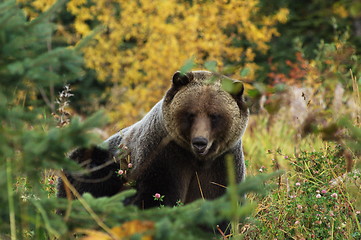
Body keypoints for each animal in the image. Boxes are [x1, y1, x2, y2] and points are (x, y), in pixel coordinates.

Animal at [57, 69, 248, 210]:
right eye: (191, 114)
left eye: (214, 115)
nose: (200, 142)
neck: (196, 159)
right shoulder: (163, 155)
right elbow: (155, 195)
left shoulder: (222, 164)